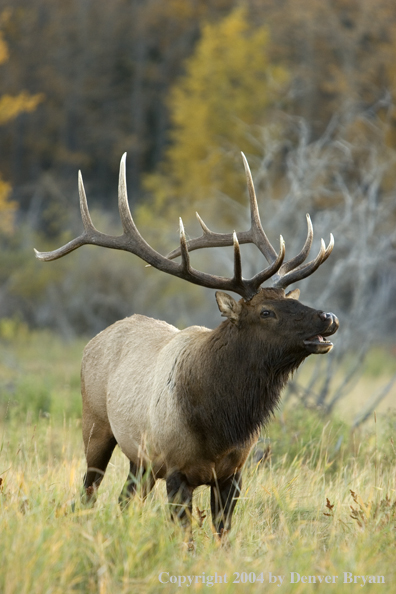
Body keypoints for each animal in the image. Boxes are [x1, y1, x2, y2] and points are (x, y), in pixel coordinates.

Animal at [35, 154, 338, 540]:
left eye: (292, 299)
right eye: (266, 312)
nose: (328, 317)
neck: (220, 423)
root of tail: (95, 339)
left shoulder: (233, 473)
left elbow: (223, 535)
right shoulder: (177, 470)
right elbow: (186, 538)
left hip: (140, 459)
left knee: (124, 499)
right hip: (96, 425)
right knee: (88, 494)